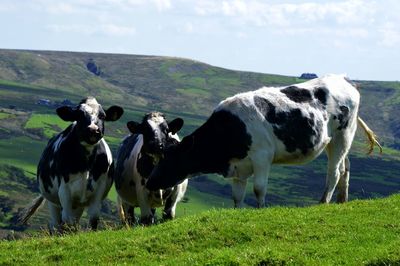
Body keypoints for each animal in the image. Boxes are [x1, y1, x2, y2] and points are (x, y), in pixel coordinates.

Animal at [18, 96, 124, 230]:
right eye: (79, 115)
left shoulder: (99, 190)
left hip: (78, 204)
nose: (93, 130)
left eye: (103, 116)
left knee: (74, 222)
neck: (87, 164)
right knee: (55, 224)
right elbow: (67, 221)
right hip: (52, 200)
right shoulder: (64, 191)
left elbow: (93, 220)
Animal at [146, 75, 382, 208]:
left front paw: (260, 209)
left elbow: (259, 189)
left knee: (334, 172)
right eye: (159, 157)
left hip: (343, 134)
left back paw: (323, 202)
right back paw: (342, 200)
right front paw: (238, 212)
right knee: (345, 168)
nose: (149, 182)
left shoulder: (262, 157)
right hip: (338, 141)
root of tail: (344, 80)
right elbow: (237, 195)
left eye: (171, 159)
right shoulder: (238, 166)